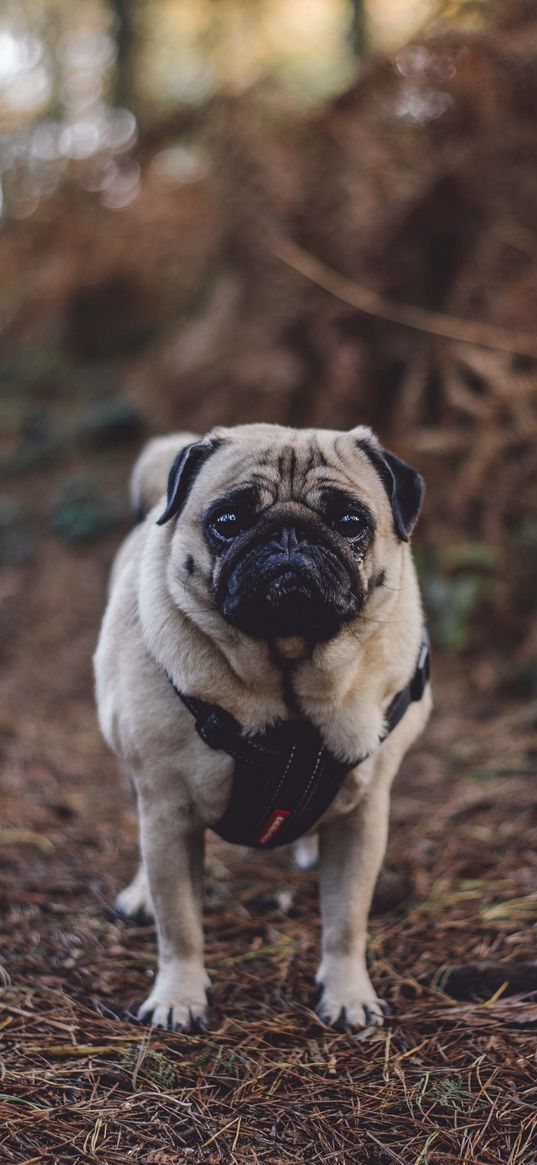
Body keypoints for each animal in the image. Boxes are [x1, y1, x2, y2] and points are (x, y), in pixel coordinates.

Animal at [94, 424, 430, 1034]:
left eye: (350, 521)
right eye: (227, 520)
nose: (289, 535)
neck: (289, 679)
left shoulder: (365, 817)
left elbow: (347, 919)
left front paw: (348, 994)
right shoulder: (168, 815)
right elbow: (180, 924)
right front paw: (179, 996)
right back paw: (139, 895)